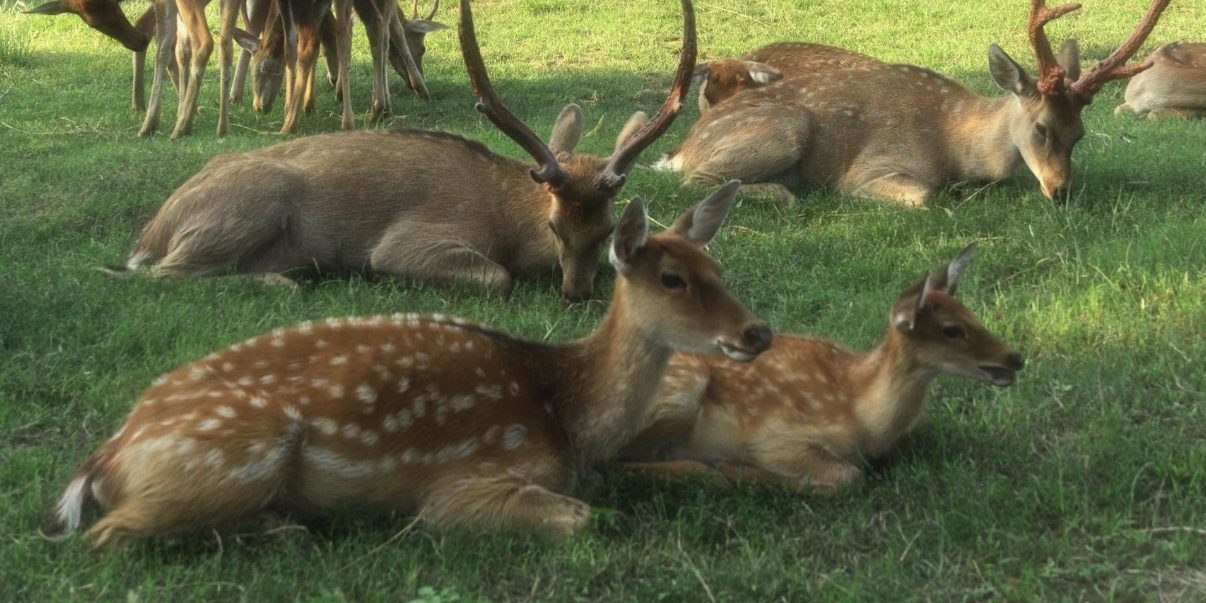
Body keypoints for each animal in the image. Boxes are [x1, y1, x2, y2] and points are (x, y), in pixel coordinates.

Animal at [41, 180, 774, 548]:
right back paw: (283, 526)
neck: (567, 410)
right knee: (107, 534)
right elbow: (578, 517)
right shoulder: (469, 480)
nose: (757, 331)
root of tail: (104, 459)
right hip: (235, 453)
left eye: (717, 267)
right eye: (673, 279)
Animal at [108, 0, 697, 302]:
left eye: (607, 228)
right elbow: (498, 277)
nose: (576, 291)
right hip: (249, 206)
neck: (506, 218)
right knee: (164, 272)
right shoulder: (408, 242)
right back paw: (282, 279)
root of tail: (148, 235)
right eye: (554, 226)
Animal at [620, 243, 1025, 493]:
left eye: (971, 312)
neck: (865, 416)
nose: (1014, 358)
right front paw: (740, 470)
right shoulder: (777, 438)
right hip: (682, 388)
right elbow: (847, 475)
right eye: (951, 330)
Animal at [655, 0, 1172, 205]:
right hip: (787, 130)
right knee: (695, 181)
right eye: (1042, 128)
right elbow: (922, 194)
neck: (956, 144)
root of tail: (681, 147)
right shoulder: (877, 164)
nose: (1061, 190)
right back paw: (784, 191)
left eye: (1079, 133)